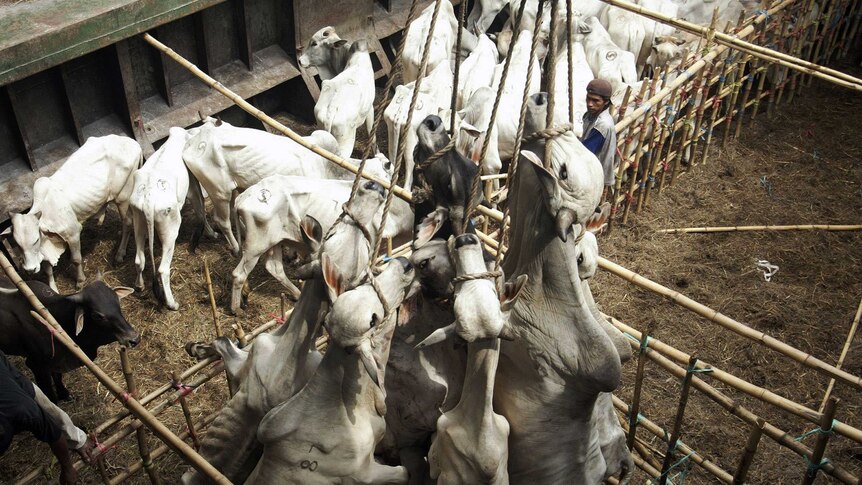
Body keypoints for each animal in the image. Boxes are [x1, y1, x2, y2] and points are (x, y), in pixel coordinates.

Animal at [0, 276, 140, 400]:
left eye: (117, 303)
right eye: (98, 316)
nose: (134, 339)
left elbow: (58, 376)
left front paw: (64, 393)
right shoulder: (36, 366)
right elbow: (50, 396)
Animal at [4, 134, 141, 290]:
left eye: (35, 240)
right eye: (17, 244)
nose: (30, 269)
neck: (47, 209)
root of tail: (132, 142)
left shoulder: (73, 234)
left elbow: (76, 259)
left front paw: (80, 281)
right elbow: (47, 269)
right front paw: (53, 288)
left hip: (122, 197)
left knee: (127, 223)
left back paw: (120, 254)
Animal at [132, 126, 214, 310]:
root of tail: (148, 199)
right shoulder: (192, 189)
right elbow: (200, 211)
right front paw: (212, 234)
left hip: (138, 221)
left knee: (139, 260)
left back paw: (139, 286)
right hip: (171, 228)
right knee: (163, 269)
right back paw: (172, 304)